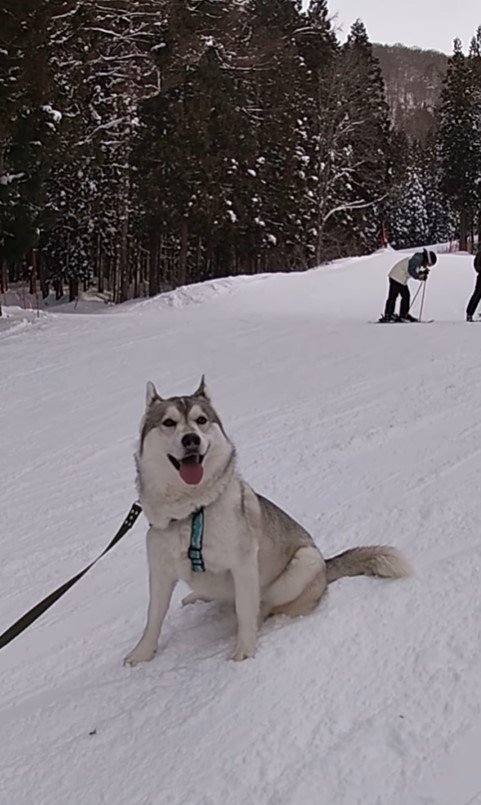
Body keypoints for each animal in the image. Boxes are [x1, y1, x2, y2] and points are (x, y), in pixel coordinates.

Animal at [124, 380, 412, 664]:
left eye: (201, 420)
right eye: (169, 422)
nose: (191, 439)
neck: (192, 512)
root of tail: (325, 566)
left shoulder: (243, 565)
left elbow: (245, 611)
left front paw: (244, 649)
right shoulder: (160, 573)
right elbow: (153, 619)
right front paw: (141, 654)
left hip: (302, 563)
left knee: (267, 605)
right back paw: (198, 595)